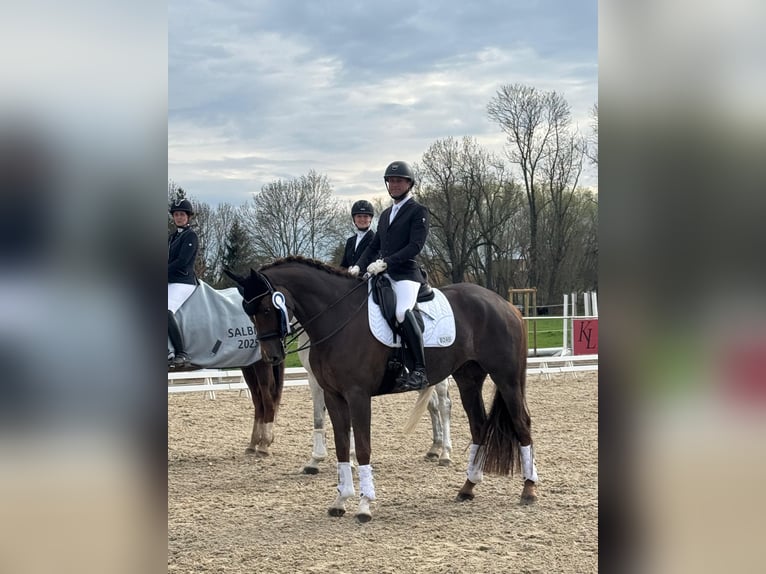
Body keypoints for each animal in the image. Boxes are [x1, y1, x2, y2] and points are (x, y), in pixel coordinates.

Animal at [226, 256, 537, 522]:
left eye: (267, 308)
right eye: (248, 312)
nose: (271, 357)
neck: (337, 317)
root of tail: (505, 304)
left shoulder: (358, 395)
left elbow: (363, 447)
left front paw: (364, 505)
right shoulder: (334, 395)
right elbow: (342, 445)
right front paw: (341, 500)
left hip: (506, 377)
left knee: (521, 422)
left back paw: (528, 489)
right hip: (468, 379)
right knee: (478, 426)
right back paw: (468, 487)